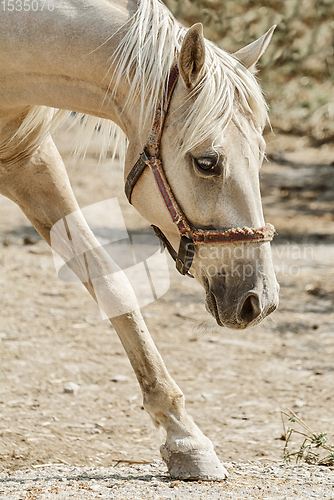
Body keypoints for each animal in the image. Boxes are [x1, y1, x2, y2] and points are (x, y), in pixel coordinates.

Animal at [0, 0, 280, 480]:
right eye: (207, 162)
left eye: (260, 156)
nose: (258, 300)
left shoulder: (28, 160)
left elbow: (111, 285)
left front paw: (186, 438)